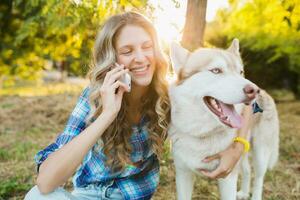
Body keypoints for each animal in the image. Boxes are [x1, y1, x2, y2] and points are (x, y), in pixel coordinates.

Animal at [169, 39, 278, 200]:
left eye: (240, 72)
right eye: (216, 71)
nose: (254, 90)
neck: (203, 134)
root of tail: (265, 92)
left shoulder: (228, 177)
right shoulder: (183, 174)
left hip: (260, 154)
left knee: (258, 179)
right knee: (247, 171)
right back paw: (243, 193)